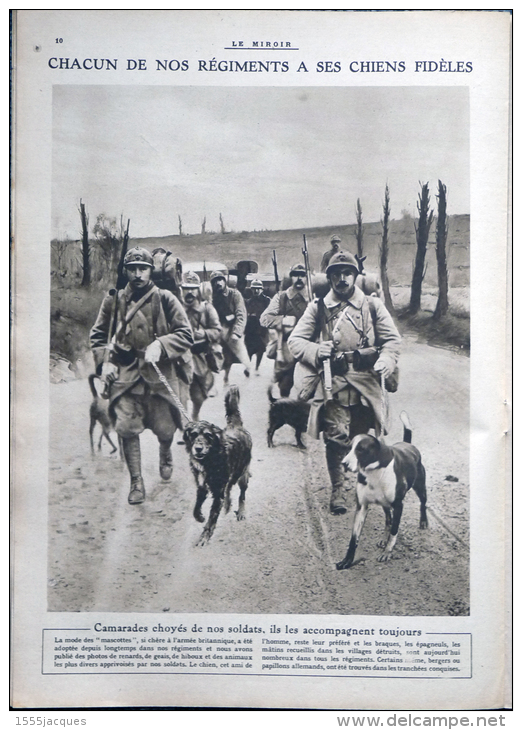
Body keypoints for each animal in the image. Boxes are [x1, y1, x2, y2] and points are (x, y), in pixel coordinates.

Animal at [182, 384, 251, 544]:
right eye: (193, 434)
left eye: (208, 435)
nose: (198, 448)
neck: (210, 460)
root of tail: (236, 426)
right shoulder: (202, 486)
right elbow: (196, 507)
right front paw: (199, 517)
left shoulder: (218, 490)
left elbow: (212, 516)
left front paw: (205, 536)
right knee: (230, 489)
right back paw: (228, 504)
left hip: (241, 474)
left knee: (241, 494)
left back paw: (240, 511)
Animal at [336, 412, 424, 572]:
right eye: (350, 448)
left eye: (361, 449)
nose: (343, 463)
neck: (374, 472)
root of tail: (408, 444)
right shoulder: (361, 507)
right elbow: (354, 538)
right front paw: (347, 560)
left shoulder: (399, 506)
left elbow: (395, 530)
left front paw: (387, 552)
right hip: (385, 504)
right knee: (388, 520)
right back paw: (384, 538)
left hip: (420, 487)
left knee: (423, 502)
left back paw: (424, 521)